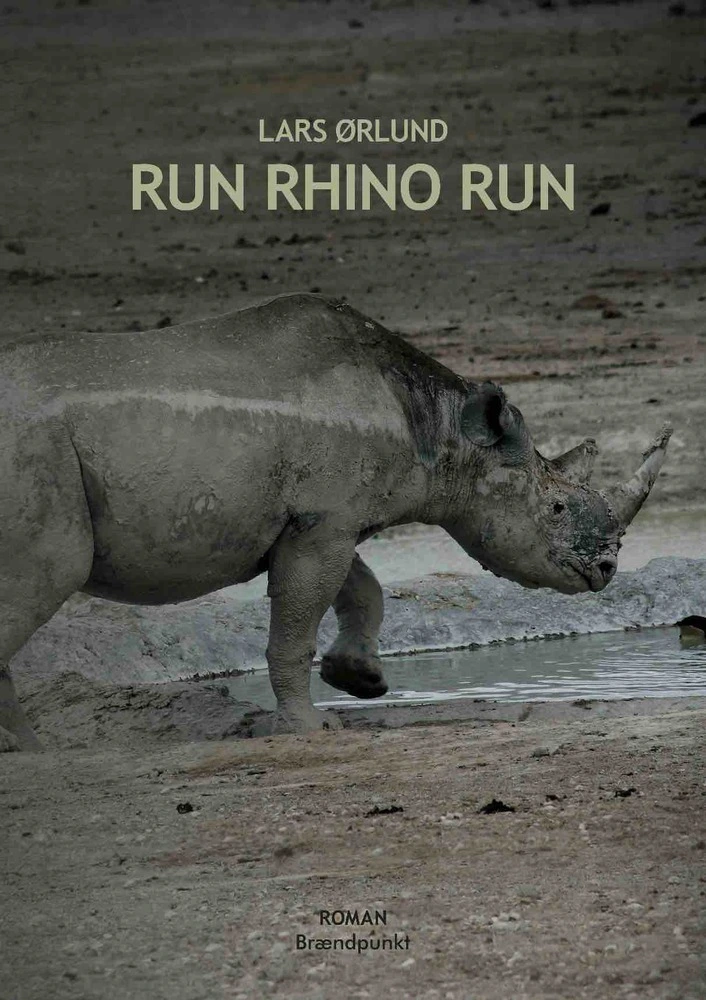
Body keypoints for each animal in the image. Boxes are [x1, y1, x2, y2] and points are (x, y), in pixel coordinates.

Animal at [0, 293, 671, 748]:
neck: (443, 431)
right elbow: (296, 628)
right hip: (35, 455)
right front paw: (310, 728)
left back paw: (31, 751)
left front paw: (361, 680)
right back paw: (31, 753)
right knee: (44, 576)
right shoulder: (321, 524)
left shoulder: (330, 518)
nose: (605, 570)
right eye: (554, 509)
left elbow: (364, 590)